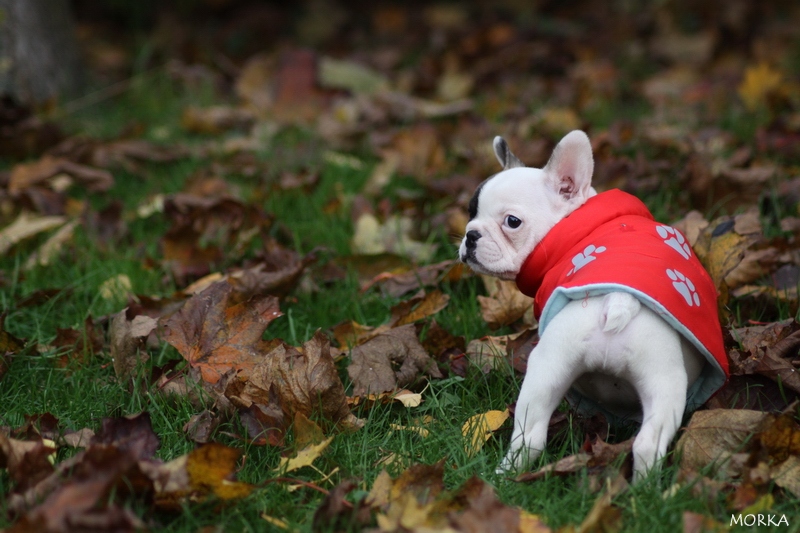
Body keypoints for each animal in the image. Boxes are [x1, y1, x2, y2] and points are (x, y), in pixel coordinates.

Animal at [462, 131, 732, 480]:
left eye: (512, 222)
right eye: (471, 213)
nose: (470, 235)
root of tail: (619, 300)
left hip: (559, 365)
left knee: (531, 437)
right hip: (656, 376)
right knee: (643, 442)